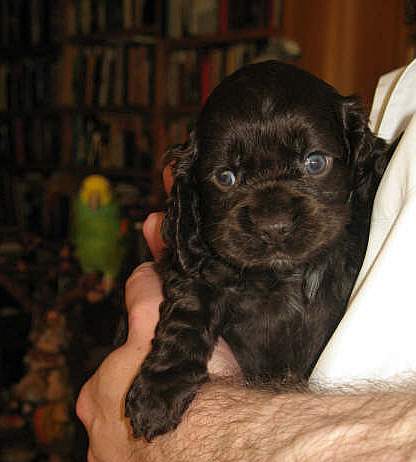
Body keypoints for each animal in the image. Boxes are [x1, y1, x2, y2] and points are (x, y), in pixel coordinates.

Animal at [123, 60, 390, 440]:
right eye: (225, 177)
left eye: (315, 162)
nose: (273, 227)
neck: (284, 273)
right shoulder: (196, 269)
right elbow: (186, 316)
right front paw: (158, 393)